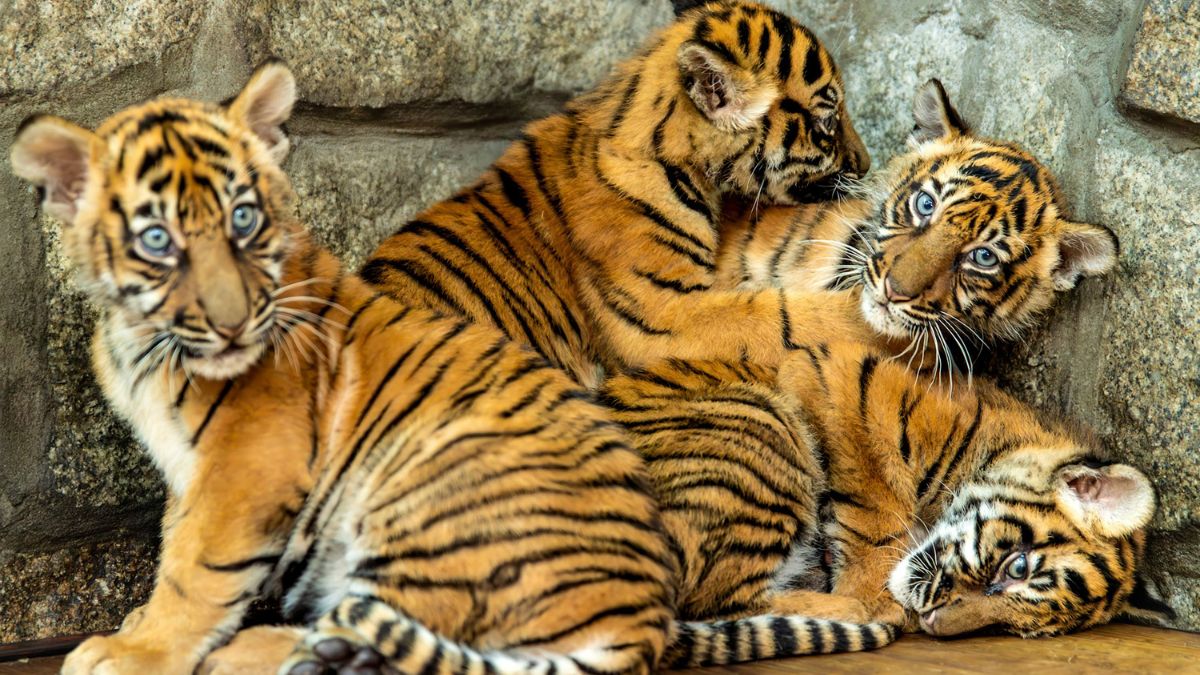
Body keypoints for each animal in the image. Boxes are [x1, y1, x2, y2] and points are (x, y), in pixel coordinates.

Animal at [11, 63, 897, 675]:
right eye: (158, 239)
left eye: (245, 220)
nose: (231, 320)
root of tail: (636, 618)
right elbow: (180, 546)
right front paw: (136, 631)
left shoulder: (247, 465)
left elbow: (198, 565)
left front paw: (136, 649)